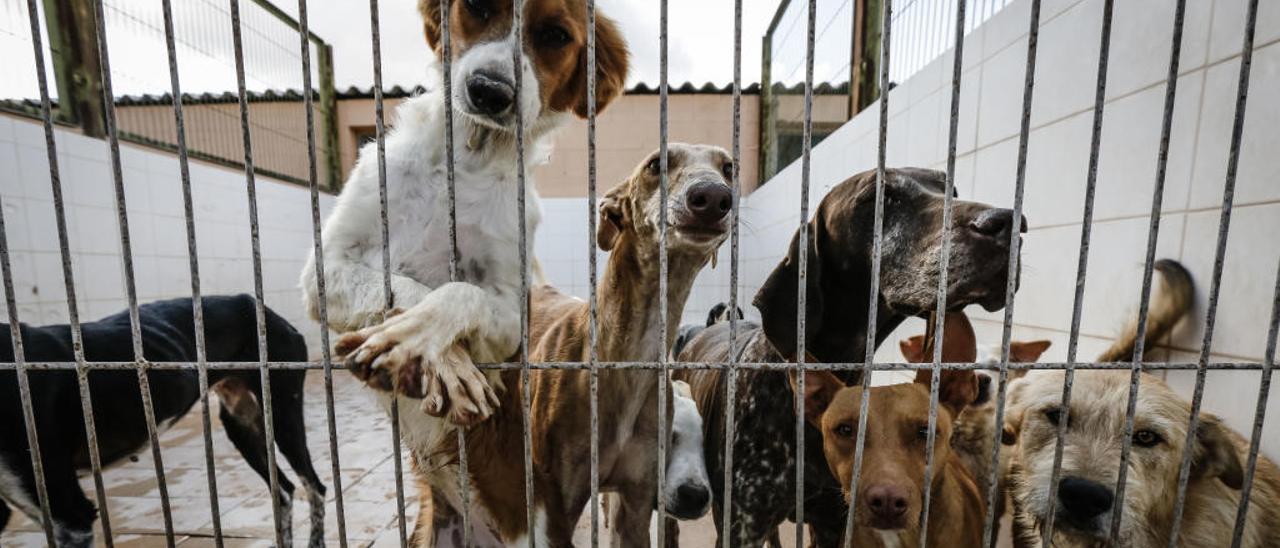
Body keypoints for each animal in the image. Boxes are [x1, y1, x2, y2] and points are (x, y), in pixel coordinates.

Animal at [0, 295, 325, 548]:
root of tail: (257, 304)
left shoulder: (68, 516)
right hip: (241, 425)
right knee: (284, 492)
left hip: (282, 414)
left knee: (315, 487)